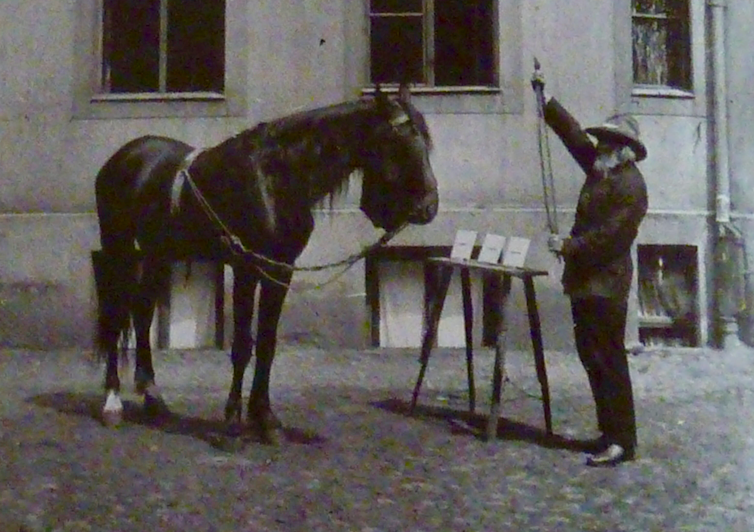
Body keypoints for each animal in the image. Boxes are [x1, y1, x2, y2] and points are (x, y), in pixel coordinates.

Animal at [94, 88, 438, 444]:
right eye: (400, 140)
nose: (429, 207)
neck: (276, 180)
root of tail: (121, 158)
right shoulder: (247, 268)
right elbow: (243, 344)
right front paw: (233, 421)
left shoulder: (280, 270)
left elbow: (267, 343)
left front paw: (266, 419)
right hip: (120, 249)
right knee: (115, 313)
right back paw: (112, 402)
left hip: (158, 255)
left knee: (142, 312)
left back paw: (153, 397)